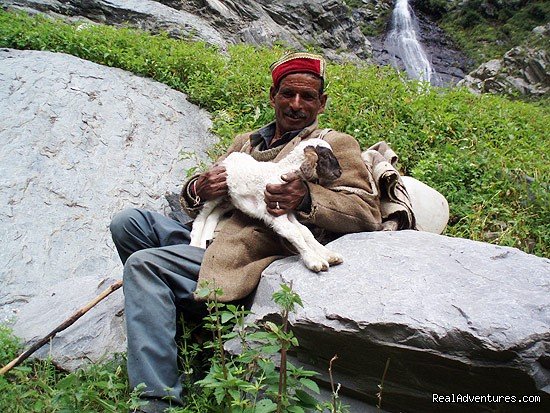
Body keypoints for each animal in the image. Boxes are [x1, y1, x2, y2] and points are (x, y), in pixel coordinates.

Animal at [190, 140, 344, 272]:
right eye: (326, 156)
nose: (340, 172)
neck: (282, 171)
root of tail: (232, 156)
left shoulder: (288, 212)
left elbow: (305, 232)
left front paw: (329, 255)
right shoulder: (274, 214)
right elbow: (295, 233)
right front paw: (314, 261)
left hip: (231, 200)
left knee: (213, 215)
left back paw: (205, 240)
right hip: (216, 193)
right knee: (201, 217)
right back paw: (196, 243)